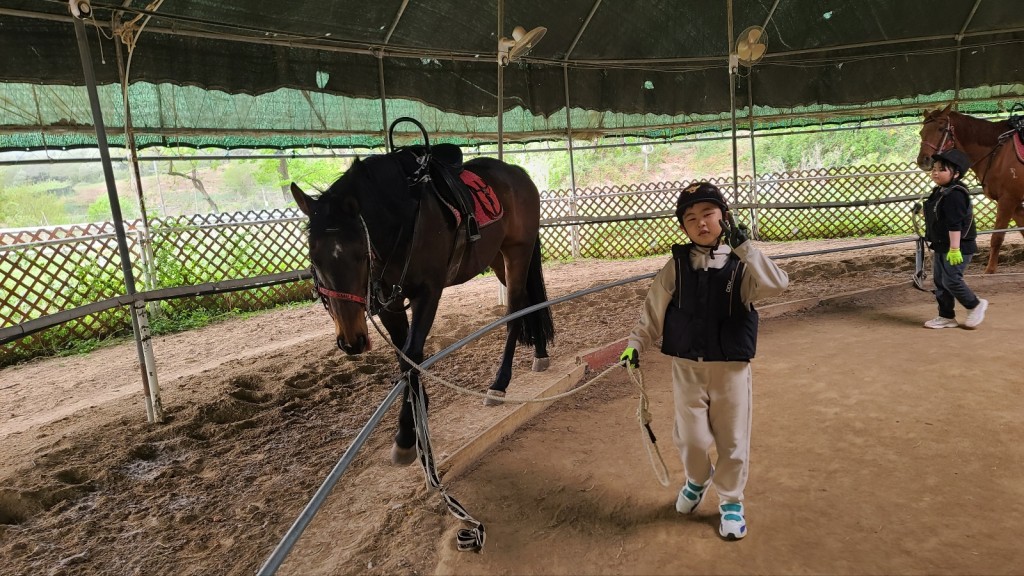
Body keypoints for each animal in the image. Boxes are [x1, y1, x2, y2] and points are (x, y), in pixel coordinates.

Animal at [292, 145, 557, 463]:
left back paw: (499, 384)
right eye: (314, 257)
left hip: (518, 252)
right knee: (529, 302)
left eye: (360, 254)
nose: (352, 341)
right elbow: (403, 357)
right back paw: (540, 353)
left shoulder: (428, 293)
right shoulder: (389, 302)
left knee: (516, 310)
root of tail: (519, 175)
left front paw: (407, 435)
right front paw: (419, 413)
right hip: (497, 259)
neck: (401, 220)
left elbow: (412, 353)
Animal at [917, 105, 1024, 272]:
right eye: (922, 132)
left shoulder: (1008, 200)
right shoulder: (1015, 203)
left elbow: (997, 237)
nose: (923, 160)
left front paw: (989, 271)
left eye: (941, 129)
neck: (999, 152)